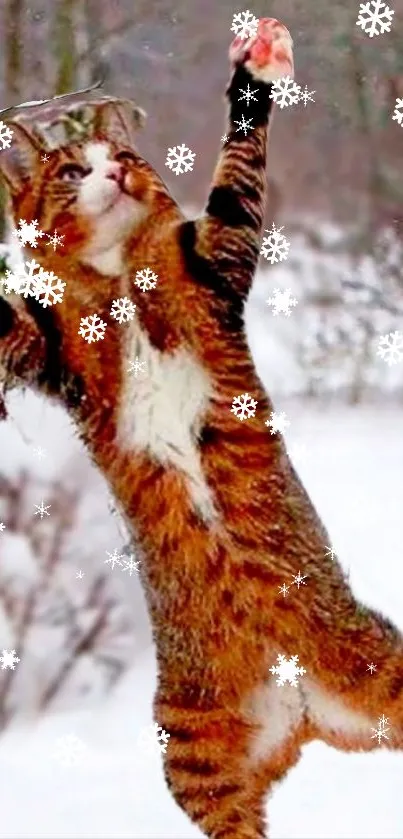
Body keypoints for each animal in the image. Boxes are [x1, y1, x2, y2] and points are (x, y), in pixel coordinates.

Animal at [0, 16, 403, 839]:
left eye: (124, 157)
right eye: (71, 171)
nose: (116, 173)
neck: (121, 277)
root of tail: (304, 709)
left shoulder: (217, 255)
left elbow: (237, 175)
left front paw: (257, 69)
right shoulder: (52, 353)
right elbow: (10, 328)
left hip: (383, 668)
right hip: (193, 755)